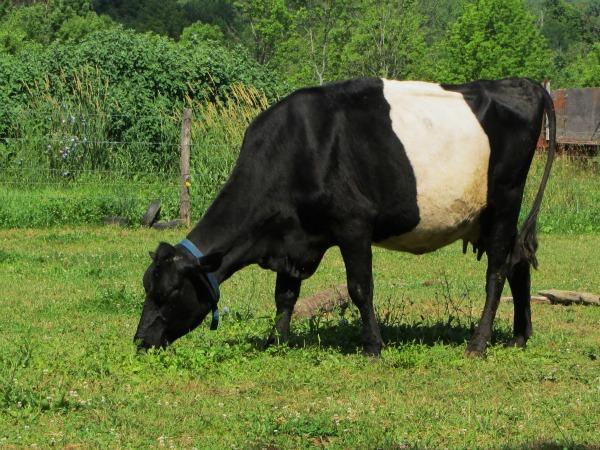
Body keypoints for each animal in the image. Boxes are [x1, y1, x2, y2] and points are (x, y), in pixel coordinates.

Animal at [134, 78, 556, 358]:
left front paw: (372, 346)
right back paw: (520, 336)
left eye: (169, 293)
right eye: (146, 287)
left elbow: (359, 288)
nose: (140, 340)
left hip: (505, 200)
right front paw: (277, 340)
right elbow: (285, 294)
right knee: (519, 261)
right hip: (485, 216)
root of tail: (523, 83)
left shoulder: (353, 225)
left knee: (497, 271)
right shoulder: (294, 237)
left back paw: (478, 344)